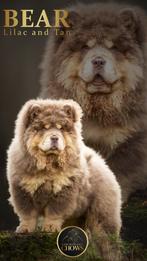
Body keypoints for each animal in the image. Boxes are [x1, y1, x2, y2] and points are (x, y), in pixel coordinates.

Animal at [6, 98, 121, 258]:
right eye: (44, 128)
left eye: (61, 128)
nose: (54, 137)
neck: (48, 164)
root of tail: (105, 166)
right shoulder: (22, 190)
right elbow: (28, 214)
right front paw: (24, 229)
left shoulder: (64, 191)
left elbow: (54, 212)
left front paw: (49, 228)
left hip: (102, 215)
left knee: (108, 241)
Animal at [40, 2, 147, 201]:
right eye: (85, 47)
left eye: (113, 47)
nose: (98, 60)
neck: (100, 108)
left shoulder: (134, 141)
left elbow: (120, 172)